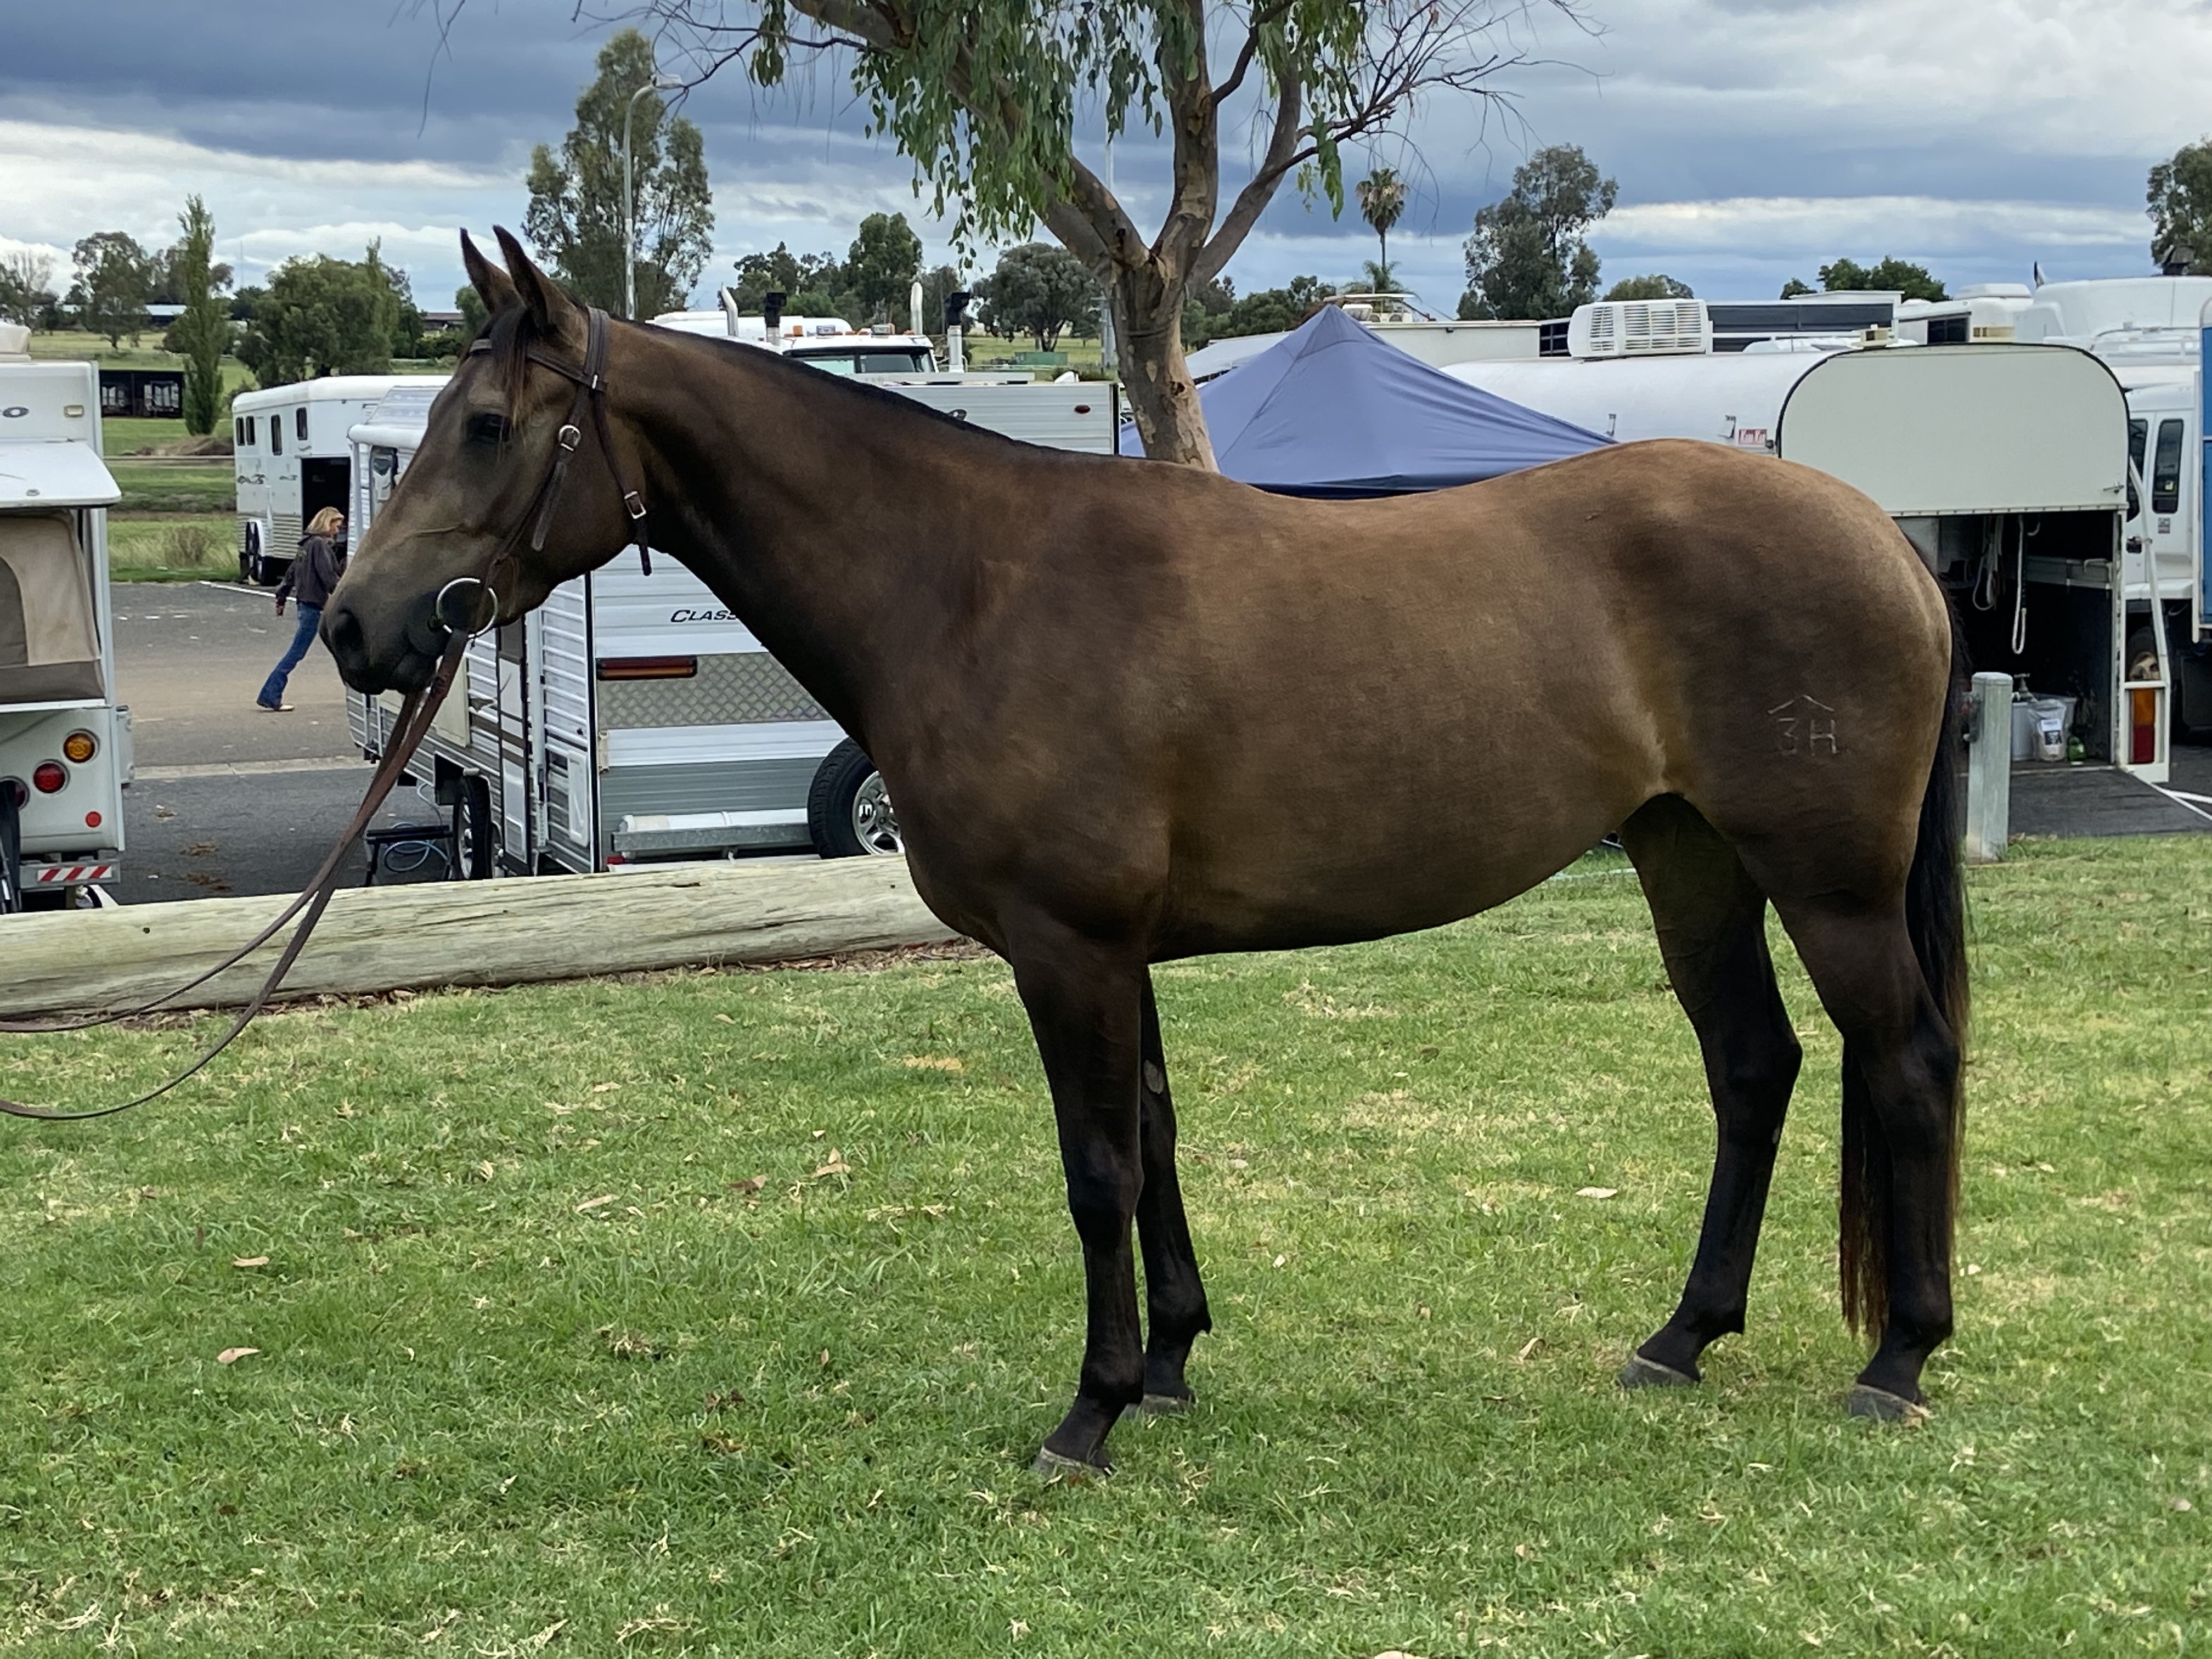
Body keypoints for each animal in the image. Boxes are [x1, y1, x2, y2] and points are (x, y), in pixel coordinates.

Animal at [324, 229, 1968, 1476]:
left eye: (485, 425)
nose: (352, 625)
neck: (975, 588)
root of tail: (1885, 540)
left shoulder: (1070, 950)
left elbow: (1097, 1165)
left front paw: (1093, 1410)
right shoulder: (1123, 953)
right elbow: (1160, 1140)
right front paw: (1172, 1360)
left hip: (1828, 884)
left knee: (1906, 1066)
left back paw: (1899, 1356)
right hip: (1689, 859)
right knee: (1753, 1069)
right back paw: (1682, 1338)